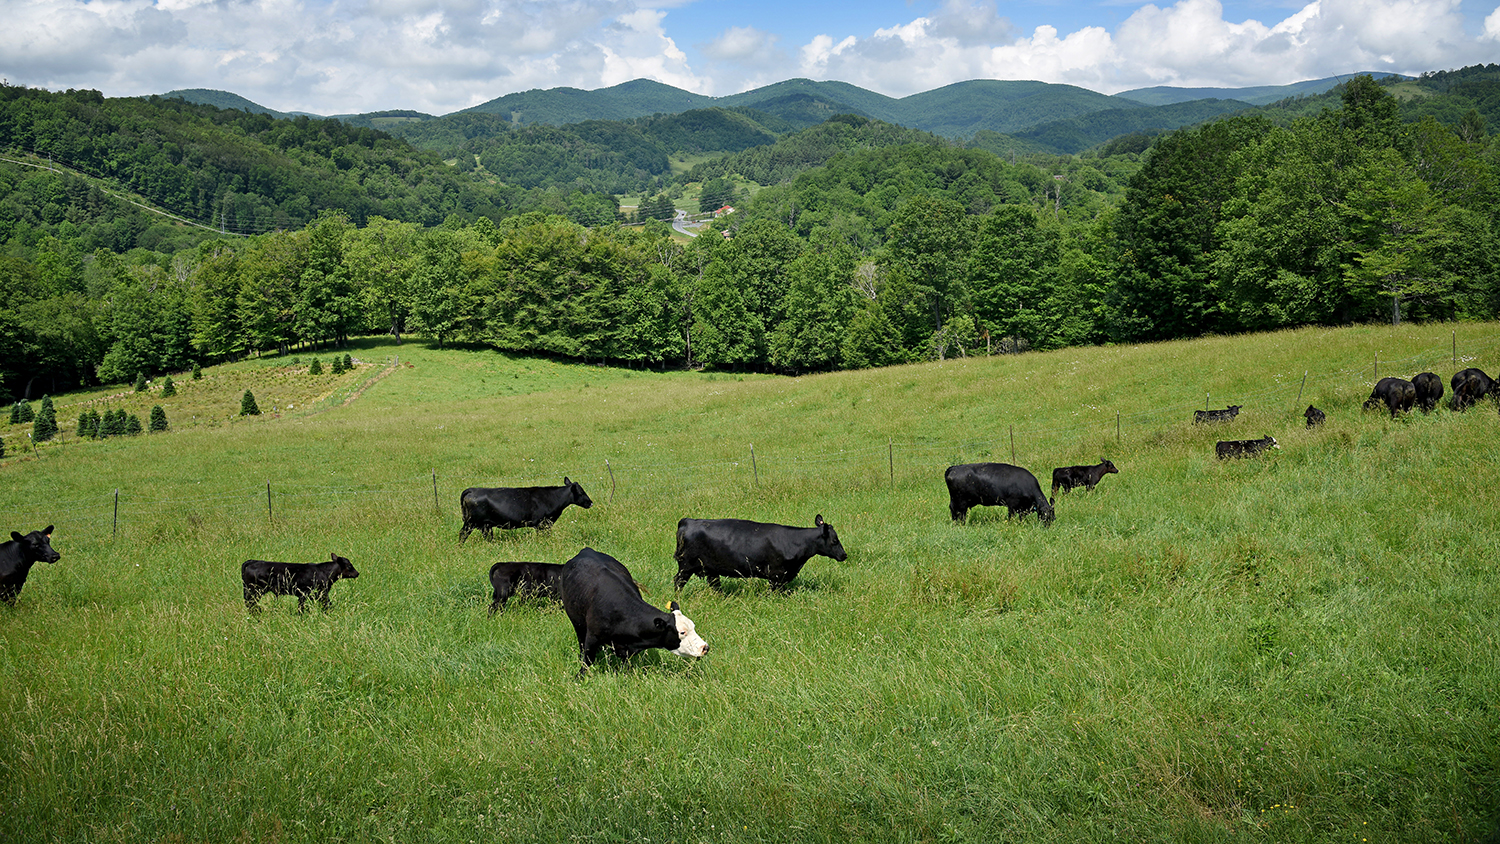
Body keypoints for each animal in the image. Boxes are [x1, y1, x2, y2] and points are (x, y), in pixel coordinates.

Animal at [456, 479, 591, 545]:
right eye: (581, 492)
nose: (590, 502)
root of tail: (472, 490)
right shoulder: (542, 524)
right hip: (471, 522)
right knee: (462, 534)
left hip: (484, 525)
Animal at [564, 548, 708, 680]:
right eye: (682, 632)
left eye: (693, 626)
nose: (705, 647)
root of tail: (587, 550)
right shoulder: (592, 636)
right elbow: (587, 660)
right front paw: (578, 677)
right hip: (577, 623)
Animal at [675, 515, 852, 593]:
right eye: (835, 540)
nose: (844, 555)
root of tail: (689, 520)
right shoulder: (776, 574)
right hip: (686, 566)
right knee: (678, 581)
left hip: (710, 569)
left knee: (715, 584)